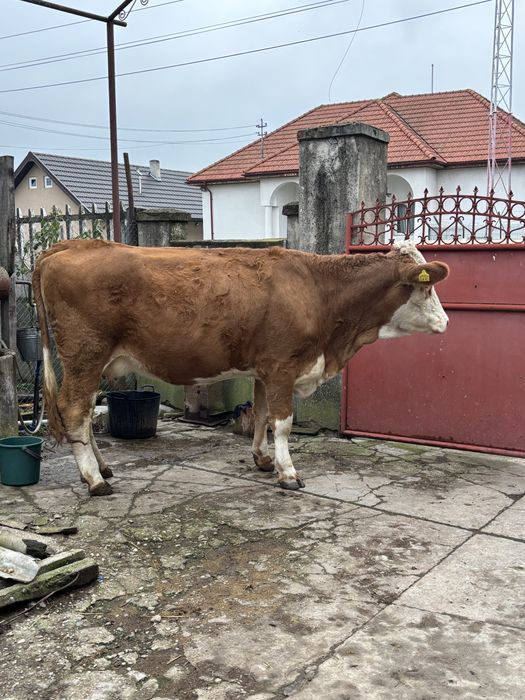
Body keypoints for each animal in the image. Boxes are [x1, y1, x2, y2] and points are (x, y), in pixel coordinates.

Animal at [33, 238, 449, 496]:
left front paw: (263, 459)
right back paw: (94, 480)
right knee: (74, 410)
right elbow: (283, 422)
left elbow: (262, 414)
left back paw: (101, 468)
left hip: (94, 363)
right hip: (85, 355)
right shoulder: (283, 366)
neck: (319, 292)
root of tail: (70, 246)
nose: (446, 322)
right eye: (426, 287)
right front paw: (288, 473)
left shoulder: (265, 369)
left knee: (85, 414)